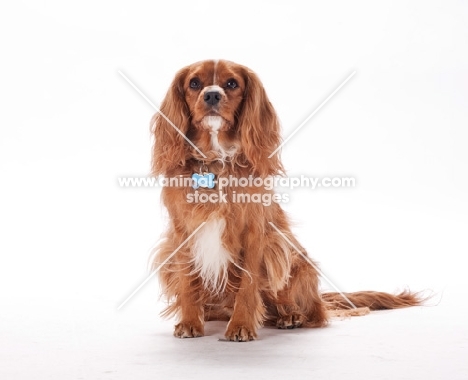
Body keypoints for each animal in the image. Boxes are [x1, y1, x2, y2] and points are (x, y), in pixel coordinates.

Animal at [149, 60, 420, 342]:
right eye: (194, 83)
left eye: (232, 83)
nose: (212, 95)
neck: (215, 160)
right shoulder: (182, 233)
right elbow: (188, 281)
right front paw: (190, 322)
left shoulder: (256, 234)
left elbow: (248, 286)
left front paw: (241, 325)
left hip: (292, 257)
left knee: (312, 311)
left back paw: (290, 316)